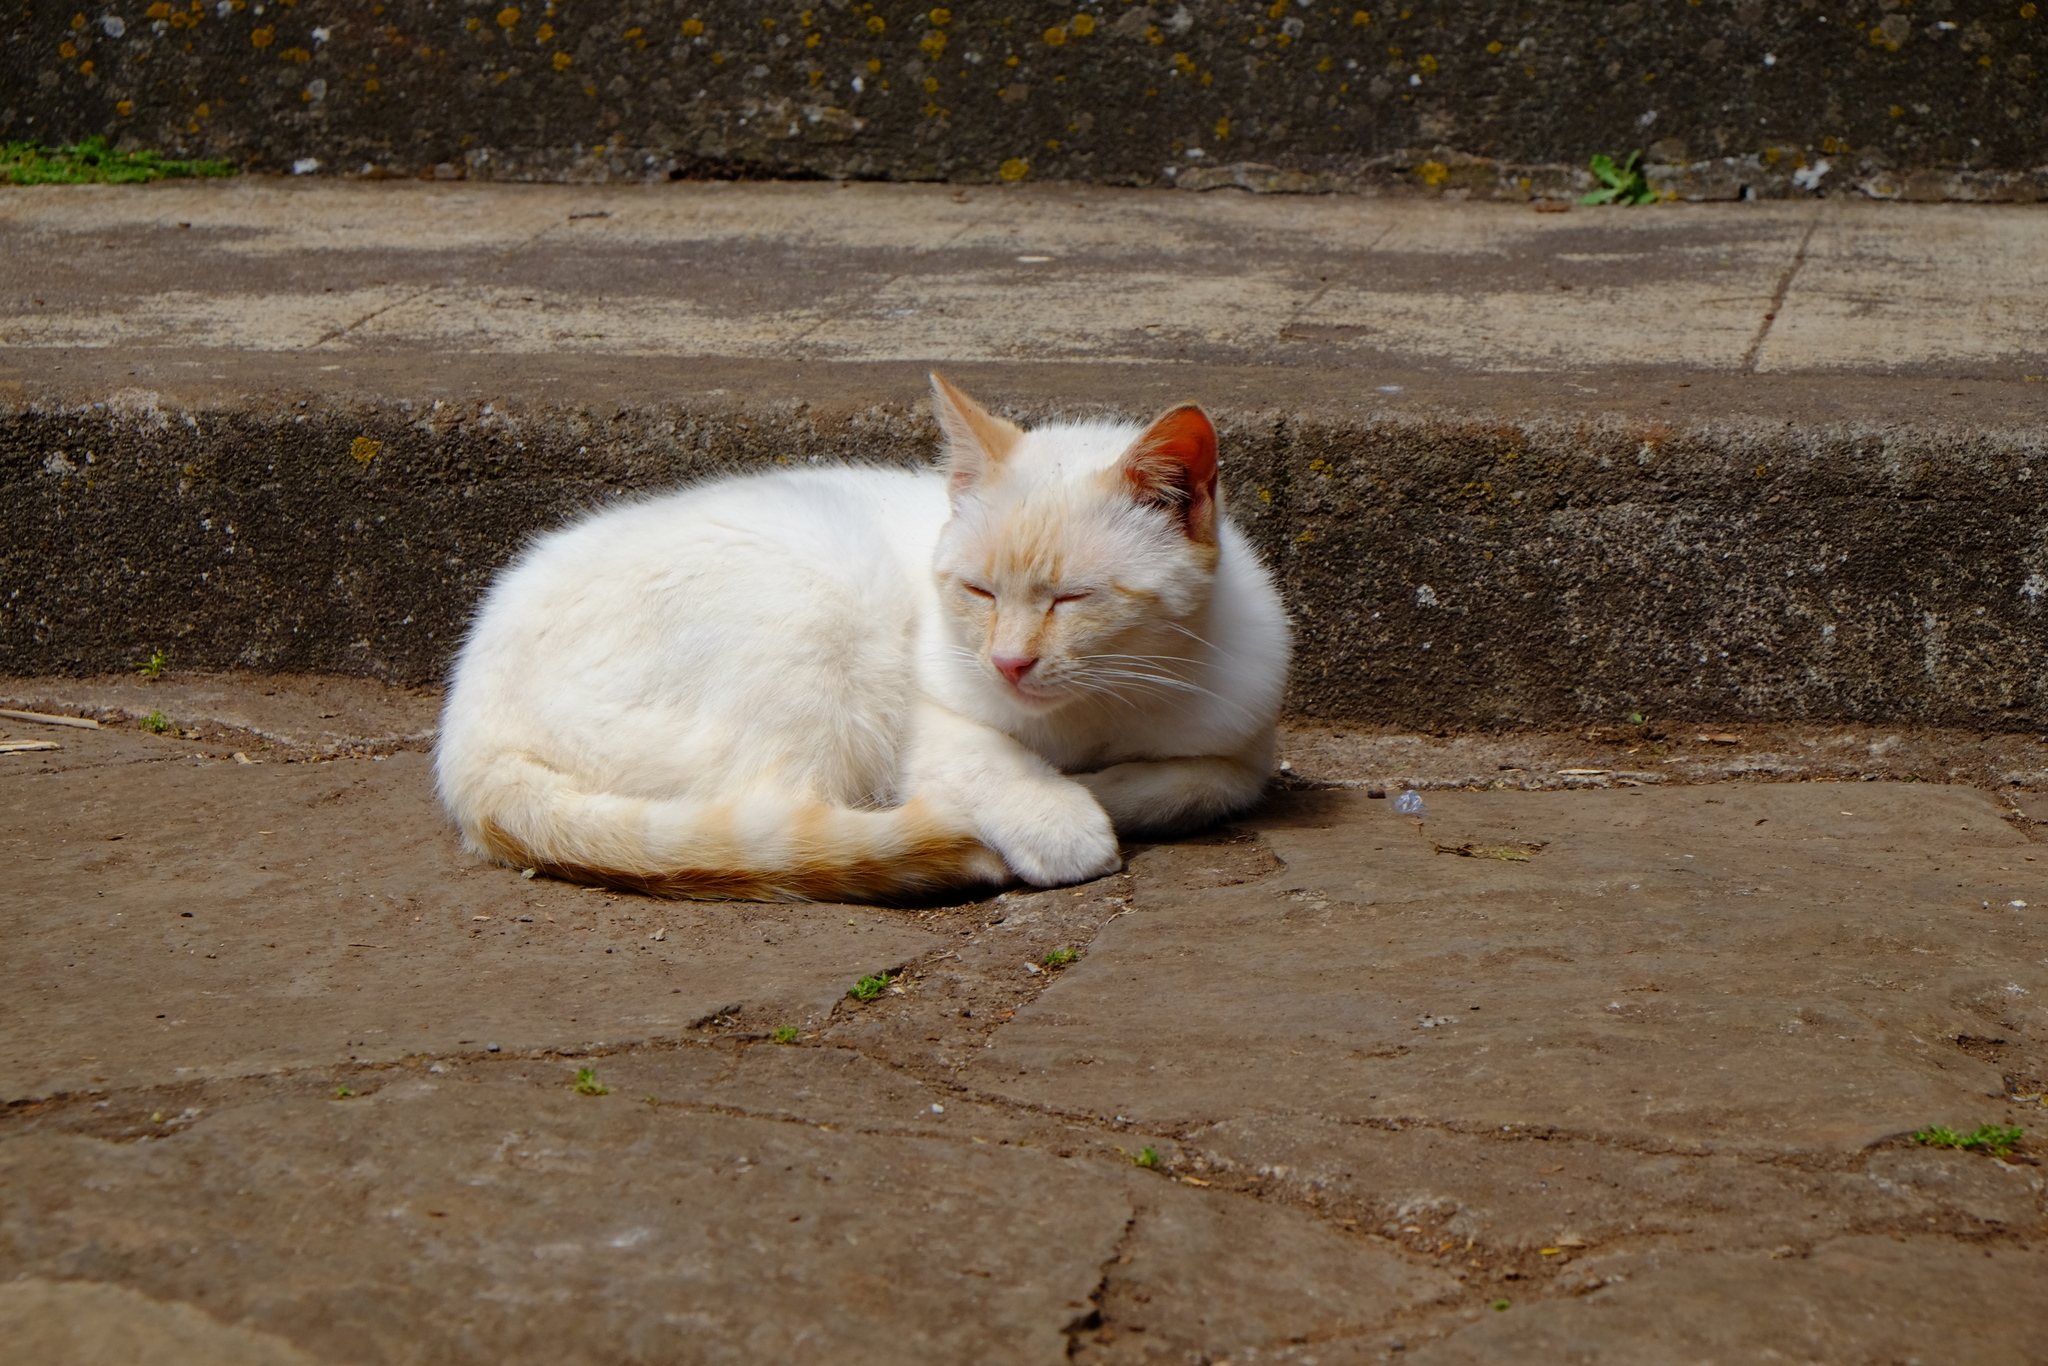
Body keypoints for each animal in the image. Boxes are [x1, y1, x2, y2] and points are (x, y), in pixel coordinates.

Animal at [434, 375, 1291, 902]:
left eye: (1073, 598)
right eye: (978, 591)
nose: (1009, 662)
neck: (1097, 710)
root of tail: (466, 727)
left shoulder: (1244, 742)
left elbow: (1199, 782)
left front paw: (1106, 792)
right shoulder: (920, 717)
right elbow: (997, 764)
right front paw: (1063, 815)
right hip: (818, 613)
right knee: (781, 814)